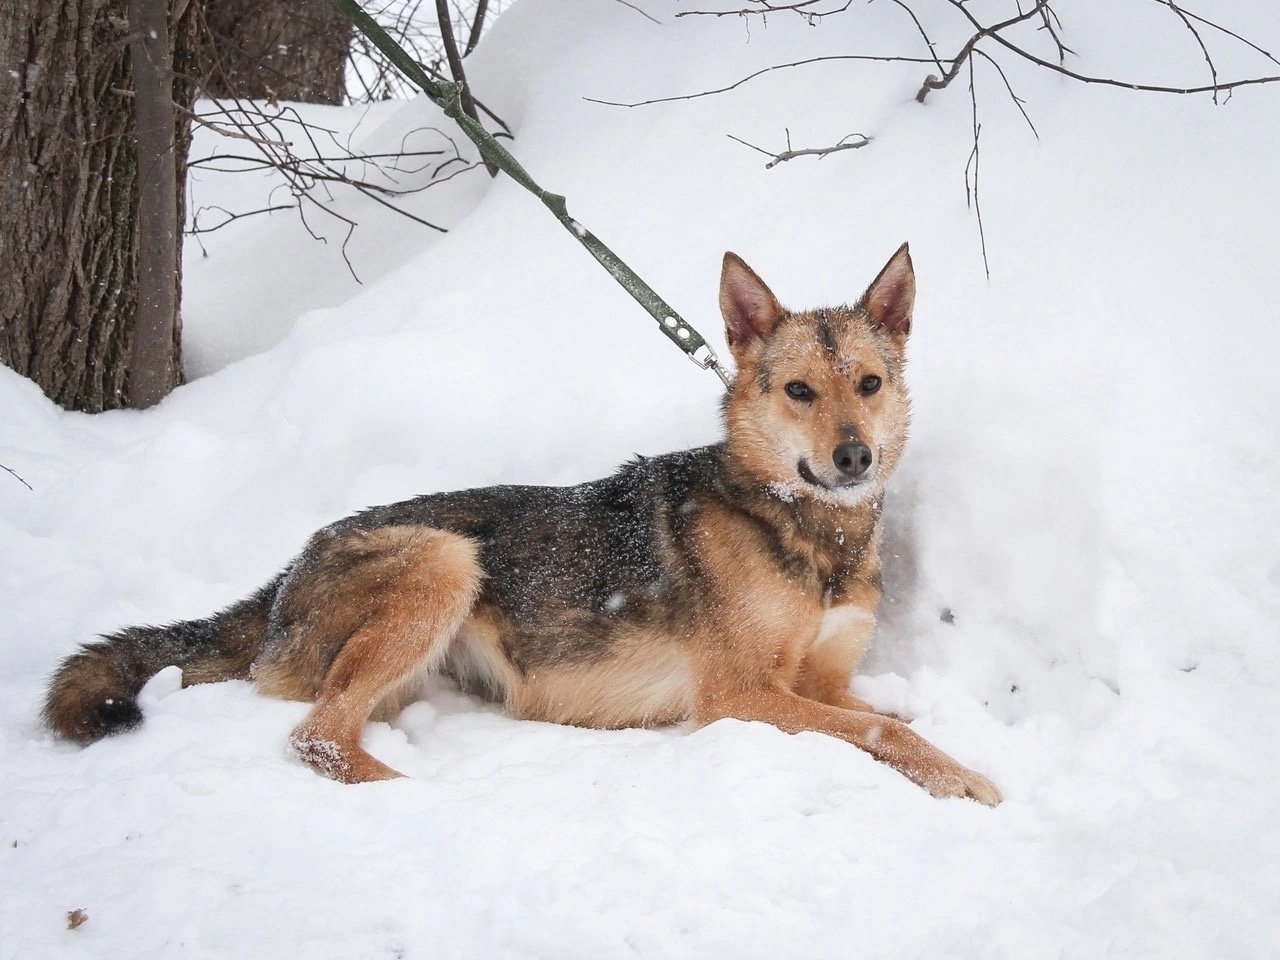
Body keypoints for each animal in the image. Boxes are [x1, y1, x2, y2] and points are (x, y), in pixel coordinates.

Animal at [45, 245, 998, 803]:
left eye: (868, 384)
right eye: (800, 390)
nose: (854, 458)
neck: (808, 530)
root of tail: (283, 574)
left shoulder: (822, 681)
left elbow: (887, 714)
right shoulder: (739, 697)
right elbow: (881, 729)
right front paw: (965, 779)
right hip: (442, 560)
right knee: (314, 735)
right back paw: (413, 796)